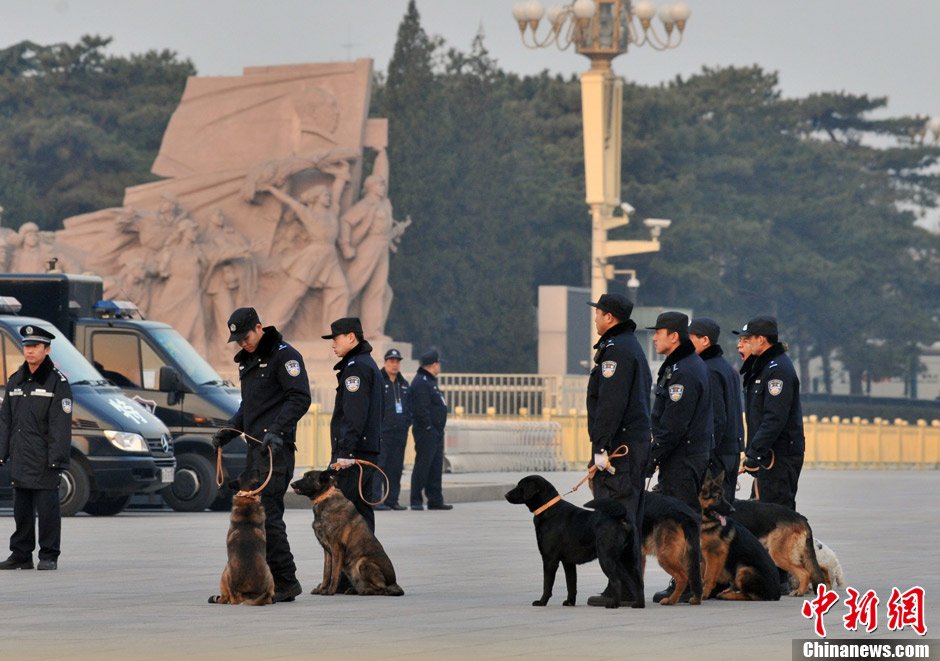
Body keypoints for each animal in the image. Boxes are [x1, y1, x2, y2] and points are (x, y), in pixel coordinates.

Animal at [288, 466, 402, 596]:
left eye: (309, 477)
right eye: (304, 475)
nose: (292, 484)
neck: (325, 496)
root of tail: (394, 583)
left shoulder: (337, 548)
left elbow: (335, 573)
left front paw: (330, 590)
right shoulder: (327, 551)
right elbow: (326, 573)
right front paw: (322, 589)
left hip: (363, 562)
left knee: (382, 589)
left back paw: (365, 591)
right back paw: (355, 589)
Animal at [506, 474, 648, 608]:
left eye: (520, 486)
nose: (506, 494)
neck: (548, 509)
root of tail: (622, 517)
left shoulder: (550, 560)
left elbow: (547, 585)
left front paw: (542, 602)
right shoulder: (568, 562)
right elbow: (571, 584)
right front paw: (570, 602)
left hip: (607, 558)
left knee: (616, 582)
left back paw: (614, 604)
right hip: (629, 558)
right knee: (638, 582)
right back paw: (639, 604)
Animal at [696, 470, 780, 600]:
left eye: (723, 496)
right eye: (718, 497)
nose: (732, 510)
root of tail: (777, 593)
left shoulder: (714, 554)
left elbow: (708, 577)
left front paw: (704, 594)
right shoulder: (704, 557)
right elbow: (702, 576)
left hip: (744, 569)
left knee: (750, 596)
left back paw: (728, 595)